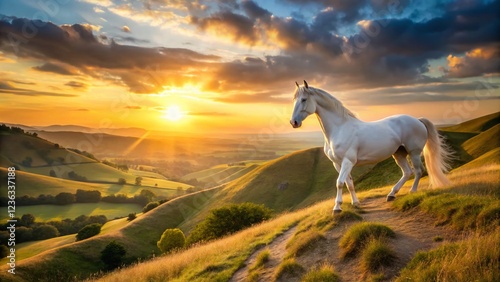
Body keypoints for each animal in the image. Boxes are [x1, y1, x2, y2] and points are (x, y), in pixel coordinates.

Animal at [290, 80, 454, 213]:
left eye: (304, 99)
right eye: (294, 100)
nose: (293, 122)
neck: (340, 128)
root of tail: (418, 120)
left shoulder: (347, 162)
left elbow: (339, 183)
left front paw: (337, 208)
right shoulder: (338, 164)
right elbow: (349, 184)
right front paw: (355, 203)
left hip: (413, 152)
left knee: (418, 171)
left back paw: (412, 192)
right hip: (399, 153)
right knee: (407, 172)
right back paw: (391, 194)